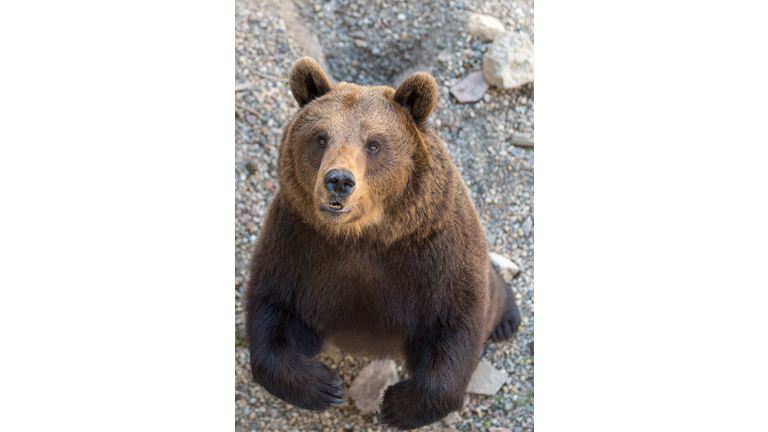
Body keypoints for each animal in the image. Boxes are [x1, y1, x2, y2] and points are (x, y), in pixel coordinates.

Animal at [248, 56, 520, 428]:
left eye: (373, 143)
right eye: (320, 138)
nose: (338, 180)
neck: (364, 235)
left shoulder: (433, 247)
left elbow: (456, 318)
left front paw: (395, 404)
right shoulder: (299, 241)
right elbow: (272, 307)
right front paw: (325, 387)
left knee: (491, 297)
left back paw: (507, 320)